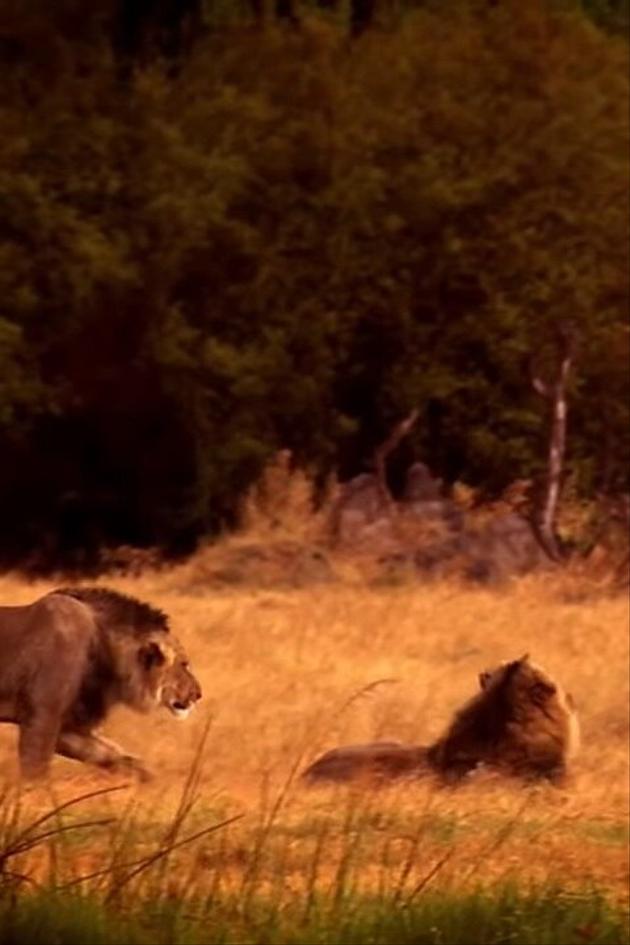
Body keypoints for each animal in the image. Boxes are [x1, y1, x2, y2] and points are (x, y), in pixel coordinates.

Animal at [0, 587, 202, 781]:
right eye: (184, 664)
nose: (199, 694)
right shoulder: (42, 717)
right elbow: (35, 770)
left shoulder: (68, 727)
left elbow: (109, 754)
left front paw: (149, 778)